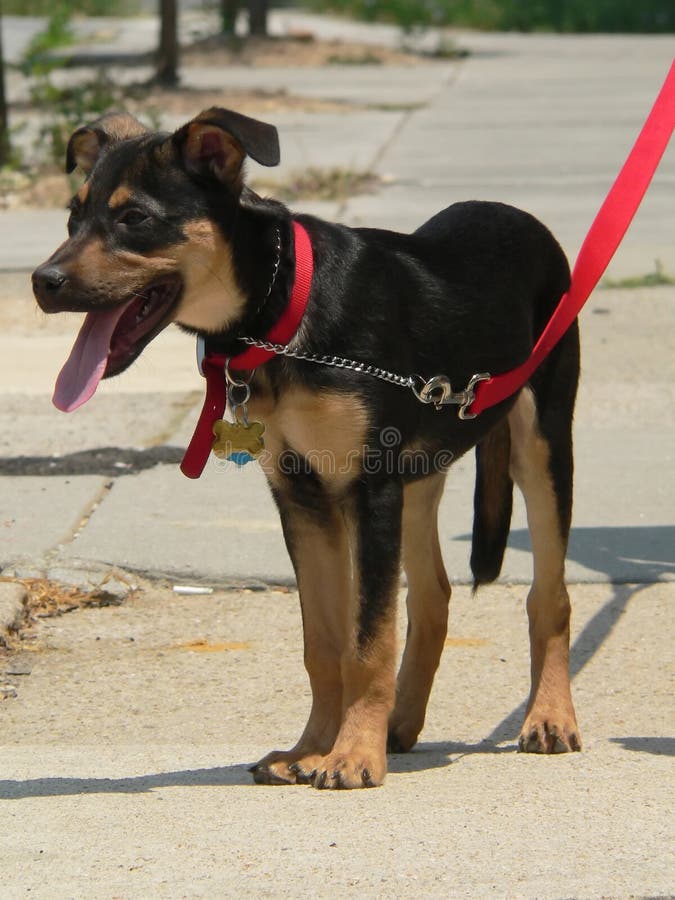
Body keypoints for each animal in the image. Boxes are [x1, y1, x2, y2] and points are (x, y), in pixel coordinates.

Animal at [33, 109, 580, 792]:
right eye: (71, 217)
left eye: (135, 217)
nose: (42, 282)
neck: (281, 314)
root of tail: (520, 216)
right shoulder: (302, 498)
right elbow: (324, 644)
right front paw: (312, 747)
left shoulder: (368, 490)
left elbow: (369, 641)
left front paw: (352, 756)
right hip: (420, 473)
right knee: (432, 596)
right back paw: (401, 723)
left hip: (541, 444)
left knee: (548, 596)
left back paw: (548, 718)